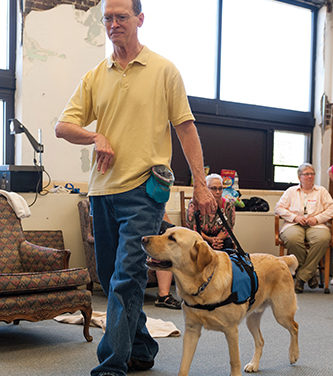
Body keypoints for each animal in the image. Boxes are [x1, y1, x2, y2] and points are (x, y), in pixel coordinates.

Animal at [141, 226, 298, 376]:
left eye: (172, 238)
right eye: (163, 232)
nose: (142, 239)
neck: (202, 286)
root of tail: (281, 259)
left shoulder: (231, 330)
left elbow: (234, 362)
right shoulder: (191, 330)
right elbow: (183, 366)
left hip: (281, 313)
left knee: (295, 327)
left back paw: (294, 355)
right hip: (252, 319)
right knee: (260, 341)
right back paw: (254, 364)